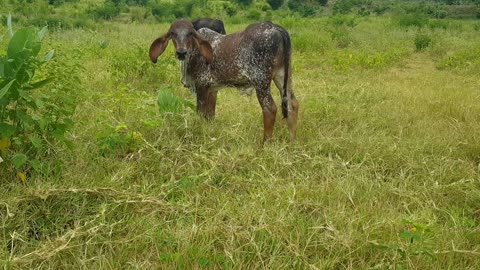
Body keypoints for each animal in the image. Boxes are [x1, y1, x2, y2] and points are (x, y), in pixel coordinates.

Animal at [148, 19, 298, 141]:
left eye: (190, 33)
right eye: (172, 33)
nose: (181, 52)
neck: (195, 51)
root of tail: (276, 28)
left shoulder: (201, 85)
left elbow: (200, 113)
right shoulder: (212, 89)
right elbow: (210, 115)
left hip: (261, 80)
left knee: (270, 108)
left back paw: (265, 143)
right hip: (283, 76)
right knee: (293, 103)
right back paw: (292, 140)